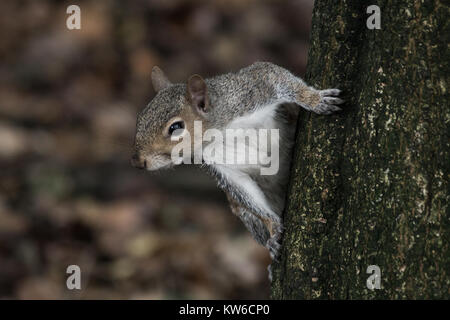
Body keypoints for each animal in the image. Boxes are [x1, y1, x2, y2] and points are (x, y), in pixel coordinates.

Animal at [132, 61, 342, 278]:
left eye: (175, 127)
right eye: (140, 119)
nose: (137, 162)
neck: (220, 133)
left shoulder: (252, 90)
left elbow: (279, 78)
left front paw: (315, 100)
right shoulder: (223, 168)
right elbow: (244, 190)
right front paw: (274, 230)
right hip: (247, 217)